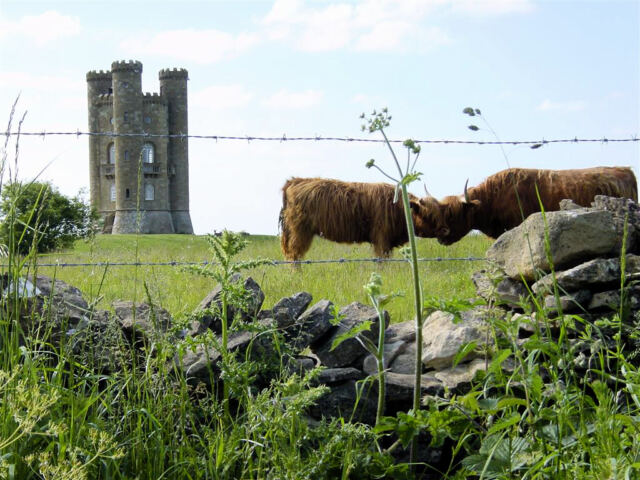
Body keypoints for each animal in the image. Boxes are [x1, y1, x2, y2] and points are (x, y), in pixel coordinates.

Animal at [279, 177, 436, 261]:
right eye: (429, 216)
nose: (442, 232)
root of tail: (295, 181)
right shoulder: (382, 238)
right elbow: (382, 260)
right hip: (300, 231)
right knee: (294, 255)